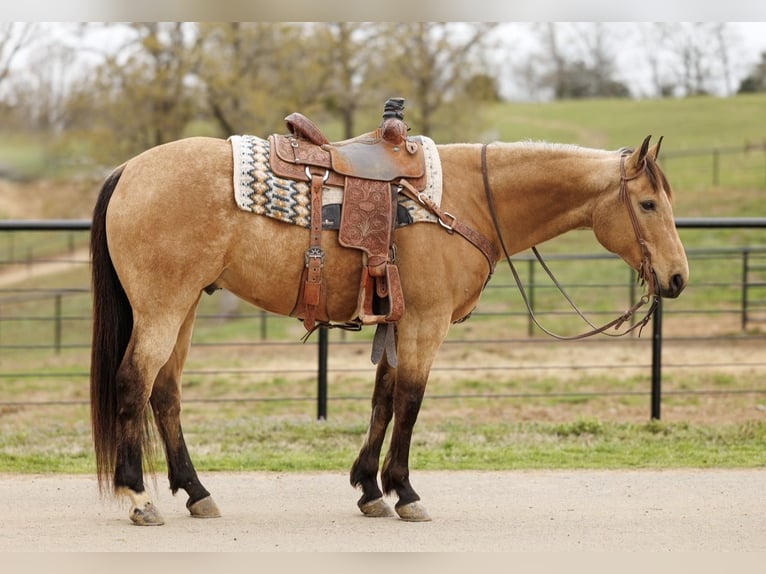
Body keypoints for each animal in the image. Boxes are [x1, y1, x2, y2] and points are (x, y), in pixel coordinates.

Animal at [90, 131, 688, 525]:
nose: (678, 277)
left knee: (165, 393)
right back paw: (139, 496)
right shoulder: (426, 322)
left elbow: (383, 399)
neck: (467, 200)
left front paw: (369, 488)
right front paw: (405, 491)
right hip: (163, 307)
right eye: (648, 203)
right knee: (133, 384)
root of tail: (128, 170)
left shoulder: (397, 323)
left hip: (185, 306)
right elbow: (410, 400)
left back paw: (195, 492)